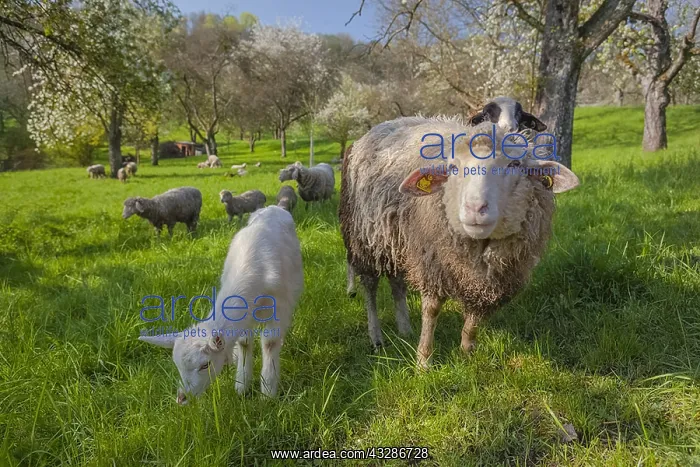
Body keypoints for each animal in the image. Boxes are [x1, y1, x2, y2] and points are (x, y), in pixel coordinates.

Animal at [139, 205, 304, 402]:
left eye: (205, 365)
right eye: (177, 365)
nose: (182, 398)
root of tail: (273, 207)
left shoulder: (280, 304)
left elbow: (270, 342)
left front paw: (268, 393)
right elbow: (244, 342)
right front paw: (241, 385)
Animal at [339, 116, 579, 367]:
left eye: (514, 164)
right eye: (453, 167)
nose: (474, 208)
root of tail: (382, 125)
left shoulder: (490, 277)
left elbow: (475, 316)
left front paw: (466, 352)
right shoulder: (433, 260)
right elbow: (432, 310)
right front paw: (424, 361)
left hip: (396, 239)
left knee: (397, 283)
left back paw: (405, 329)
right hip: (364, 239)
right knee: (370, 286)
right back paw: (376, 336)